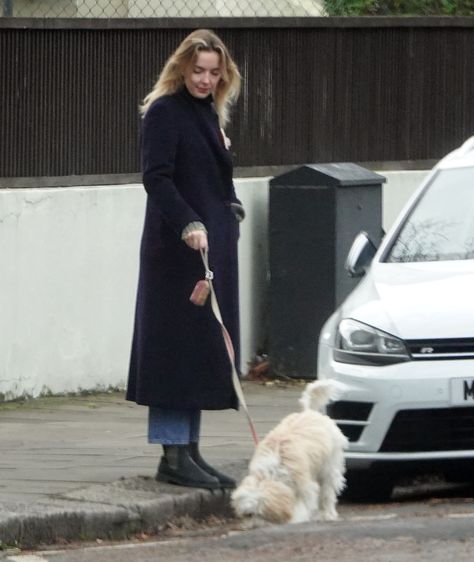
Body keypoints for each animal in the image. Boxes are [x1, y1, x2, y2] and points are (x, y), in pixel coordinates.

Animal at [231, 378, 348, 524]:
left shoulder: (304, 486)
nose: (254, 526)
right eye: (249, 514)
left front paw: (297, 518)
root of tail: (309, 411)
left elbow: (303, 504)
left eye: (261, 514)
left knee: (328, 490)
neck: (272, 471)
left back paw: (327, 514)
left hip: (329, 466)